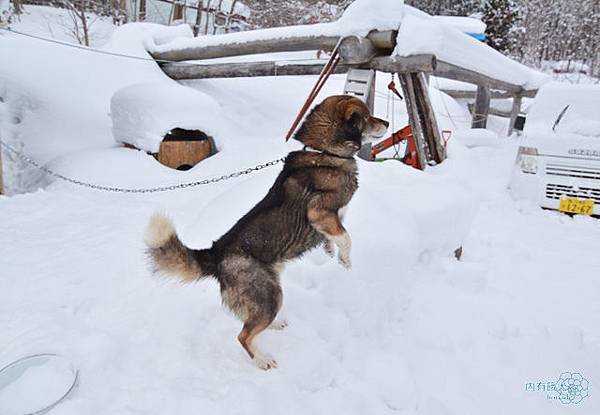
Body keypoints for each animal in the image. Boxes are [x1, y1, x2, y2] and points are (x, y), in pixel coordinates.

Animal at [145, 95, 390, 370]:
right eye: (367, 117)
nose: (388, 123)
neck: (324, 153)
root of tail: (216, 254)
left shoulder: (328, 221)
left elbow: (335, 237)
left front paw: (331, 253)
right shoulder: (320, 213)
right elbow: (346, 238)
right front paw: (345, 261)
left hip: (270, 289)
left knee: (251, 321)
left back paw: (274, 325)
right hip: (270, 295)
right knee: (243, 335)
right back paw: (262, 360)